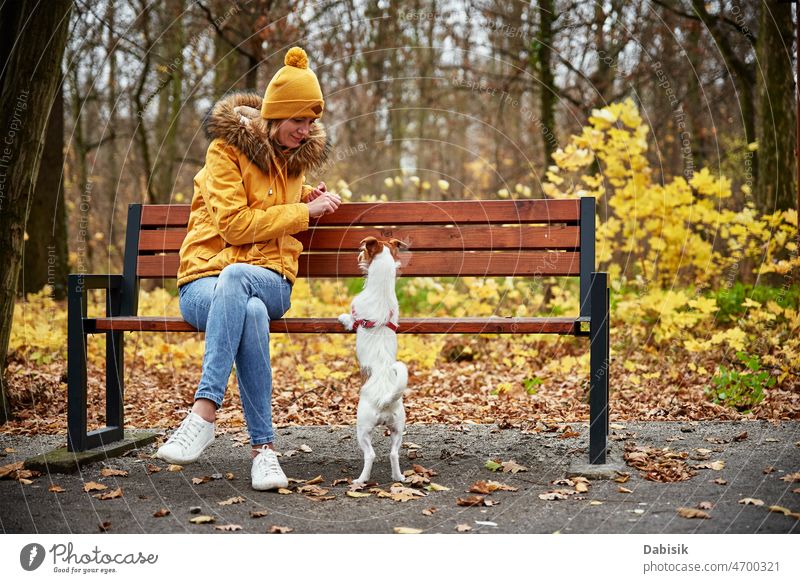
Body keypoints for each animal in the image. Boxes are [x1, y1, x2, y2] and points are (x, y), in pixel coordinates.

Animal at [340, 236, 410, 484]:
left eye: (362, 250)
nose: (357, 255)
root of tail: (385, 399)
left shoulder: (355, 315)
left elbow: (349, 319)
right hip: (398, 428)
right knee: (393, 453)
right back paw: (398, 477)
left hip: (362, 427)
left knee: (370, 455)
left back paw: (360, 480)